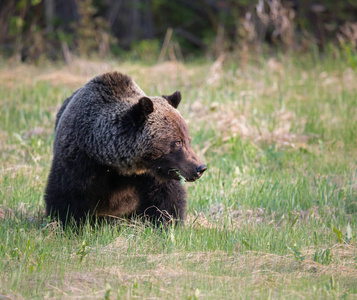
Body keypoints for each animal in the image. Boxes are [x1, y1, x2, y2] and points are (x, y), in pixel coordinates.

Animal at [44, 71, 206, 226]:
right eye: (178, 142)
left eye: (188, 140)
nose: (200, 167)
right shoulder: (78, 160)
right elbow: (66, 194)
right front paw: (68, 223)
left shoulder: (152, 173)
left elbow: (167, 198)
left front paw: (168, 223)